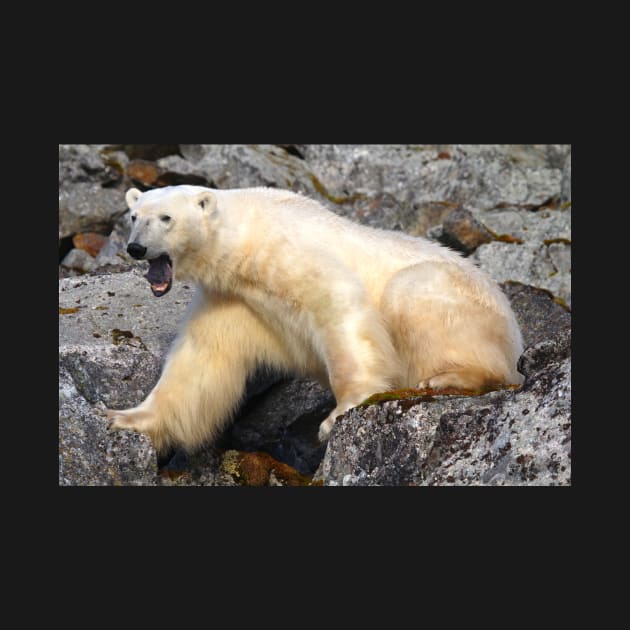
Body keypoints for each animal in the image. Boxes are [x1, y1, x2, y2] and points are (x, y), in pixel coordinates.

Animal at [106, 185, 524, 452]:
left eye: (167, 217)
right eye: (133, 216)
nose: (136, 247)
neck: (246, 242)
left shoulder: (291, 254)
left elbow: (338, 307)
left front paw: (337, 415)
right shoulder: (232, 299)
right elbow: (199, 361)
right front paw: (125, 417)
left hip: (461, 300)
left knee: (416, 293)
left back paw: (446, 377)